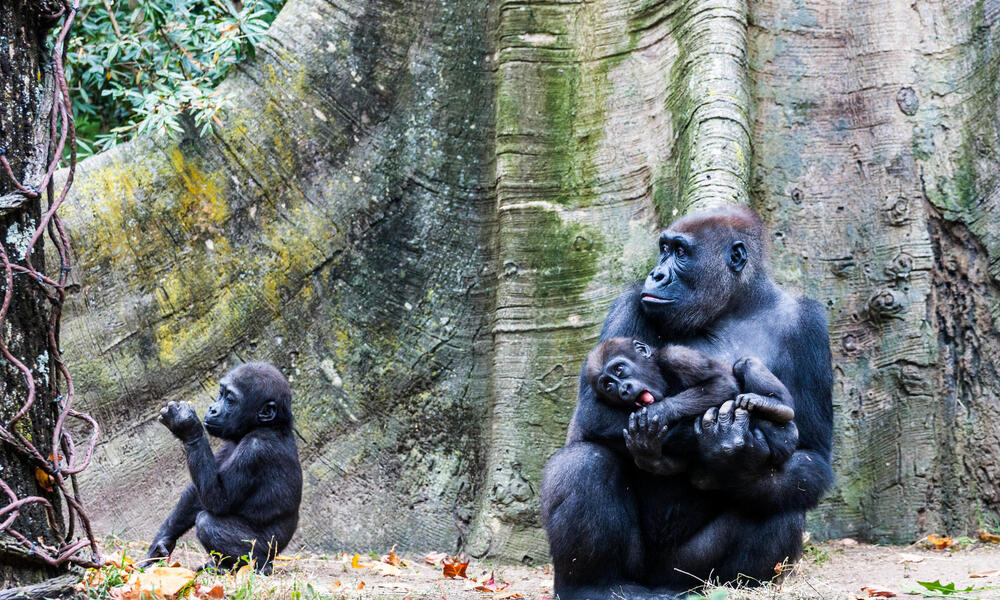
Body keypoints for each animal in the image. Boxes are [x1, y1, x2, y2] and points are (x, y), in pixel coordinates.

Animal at [145, 360, 300, 572]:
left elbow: (218, 499)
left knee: (207, 522)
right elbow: (196, 496)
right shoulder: (228, 442)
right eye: (220, 393)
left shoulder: (256, 450)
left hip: (268, 550)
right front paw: (161, 543)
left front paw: (186, 425)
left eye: (230, 399)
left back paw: (256, 566)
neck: (268, 425)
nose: (212, 409)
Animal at [584, 340, 796, 476]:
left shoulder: (677, 357)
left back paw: (777, 406)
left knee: (744, 364)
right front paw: (646, 451)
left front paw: (660, 410)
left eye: (619, 369)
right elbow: (680, 465)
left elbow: (722, 383)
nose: (624, 389)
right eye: (608, 386)